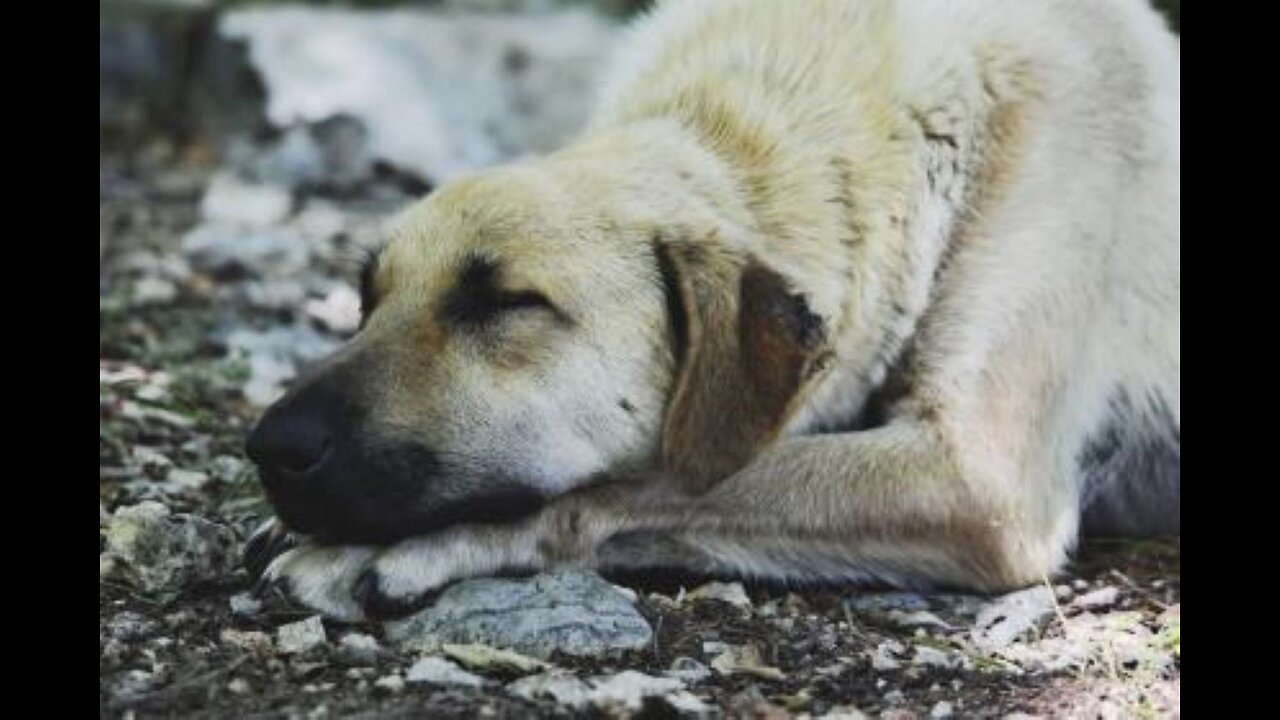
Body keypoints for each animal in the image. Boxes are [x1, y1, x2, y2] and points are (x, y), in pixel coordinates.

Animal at [240, 0, 1177, 617]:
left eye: (506, 302)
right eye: (368, 298)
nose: (269, 447)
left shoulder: (977, 475)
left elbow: (634, 484)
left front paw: (397, 547)